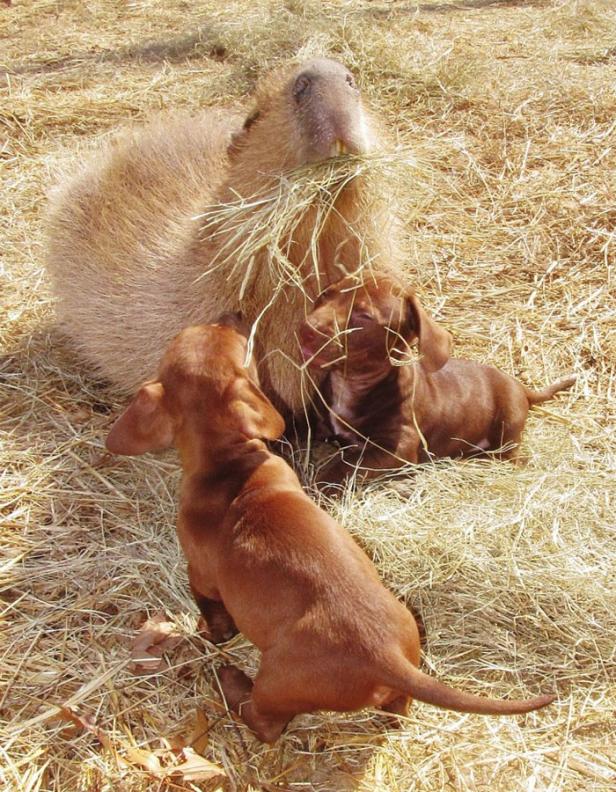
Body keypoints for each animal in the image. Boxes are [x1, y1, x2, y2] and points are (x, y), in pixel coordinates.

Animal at [106, 318, 552, 744]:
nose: (233, 314)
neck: (227, 462)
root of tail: (384, 656)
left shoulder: (201, 576)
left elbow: (215, 620)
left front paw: (206, 636)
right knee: (397, 714)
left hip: (277, 683)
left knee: (264, 725)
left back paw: (229, 681)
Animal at [300, 272, 576, 482]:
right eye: (325, 294)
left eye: (363, 316)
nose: (308, 328)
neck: (350, 384)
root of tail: (520, 386)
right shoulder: (318, 422)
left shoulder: (398, 449)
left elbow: (347, 464)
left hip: (507, 433)